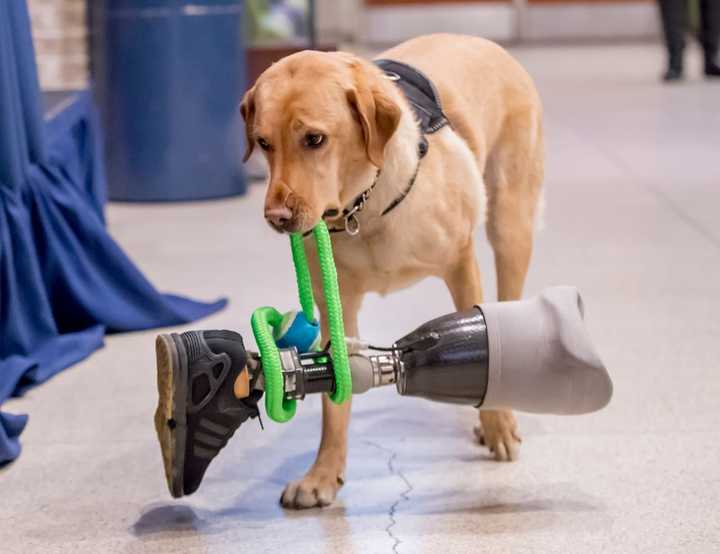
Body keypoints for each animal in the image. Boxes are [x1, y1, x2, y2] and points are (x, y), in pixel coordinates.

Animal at [242, 32, 540, 506]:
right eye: (264, 142)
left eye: (314, 139)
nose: (277, 217)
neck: (363, 209)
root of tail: (479, 39)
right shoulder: (336, 302)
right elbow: (335, 397)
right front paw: (323, 473)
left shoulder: (461, 264)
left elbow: (486, 340)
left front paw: (496, 424)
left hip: (511, 226)